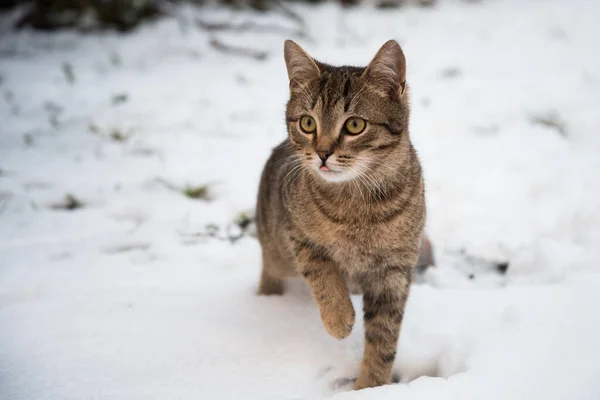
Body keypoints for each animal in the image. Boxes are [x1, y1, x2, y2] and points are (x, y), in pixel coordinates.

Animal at [255, 39, 424, 390]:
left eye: (355, 125)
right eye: (307, 123)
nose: (322, 153)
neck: (359, 206)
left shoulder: (394, 273)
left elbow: (383, 340)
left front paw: (371, 388)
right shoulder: (297, 235)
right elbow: (323, 275)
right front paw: (338, 318)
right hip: (277, 252)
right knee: (270, 269)